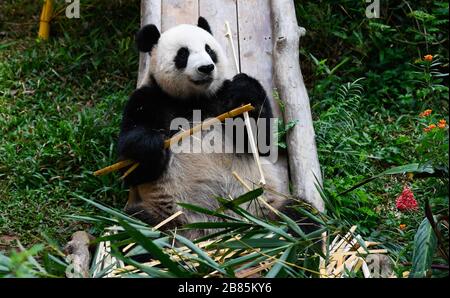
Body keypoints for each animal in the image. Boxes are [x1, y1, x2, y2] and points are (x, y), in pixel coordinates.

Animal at [118, 17, 316, 239]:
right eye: (182, 54)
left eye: (209, 49)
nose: (206, 67)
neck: (194, 100)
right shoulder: (147, 100)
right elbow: (132, 169)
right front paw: (151, 145)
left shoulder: (221, 95)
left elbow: (261, 143)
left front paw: (245, 89)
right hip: (165, 217)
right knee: (133, 228)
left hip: (267, 206)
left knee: (301, 215)